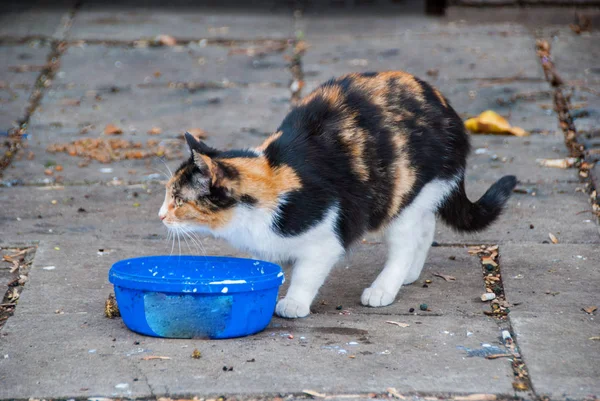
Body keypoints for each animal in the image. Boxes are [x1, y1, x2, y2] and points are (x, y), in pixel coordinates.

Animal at [159, 70, 516, 318]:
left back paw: (385, 287)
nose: (160, 215)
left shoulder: (325, 238)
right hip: (413, 196)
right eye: (168, 195)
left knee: (406, 240)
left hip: (402, 192)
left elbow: (308, 271)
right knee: (425, 226)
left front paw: (294, 302)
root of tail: (446, 106)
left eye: (178, 199)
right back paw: (411, 273)